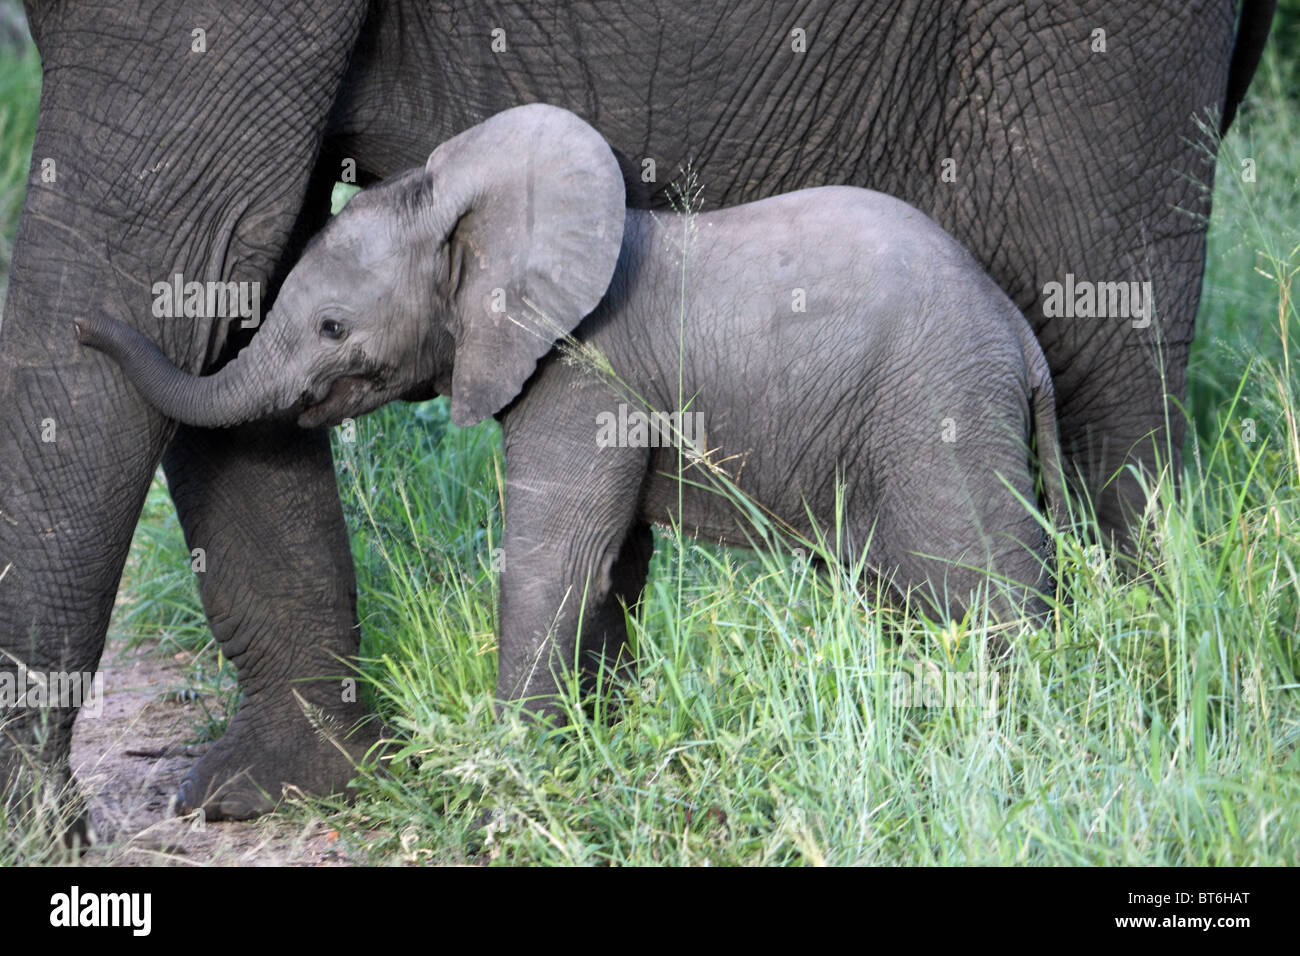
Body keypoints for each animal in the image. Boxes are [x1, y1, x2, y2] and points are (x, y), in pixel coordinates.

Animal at [78, 102, 1055, 712]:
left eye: (332, 326)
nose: (87, 326)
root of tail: (1018, 333)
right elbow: (615, 567)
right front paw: (598, 735)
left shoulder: (583, 376)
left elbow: (561, 559)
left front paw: (513, 764)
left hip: (937, 402)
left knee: (974, 576)